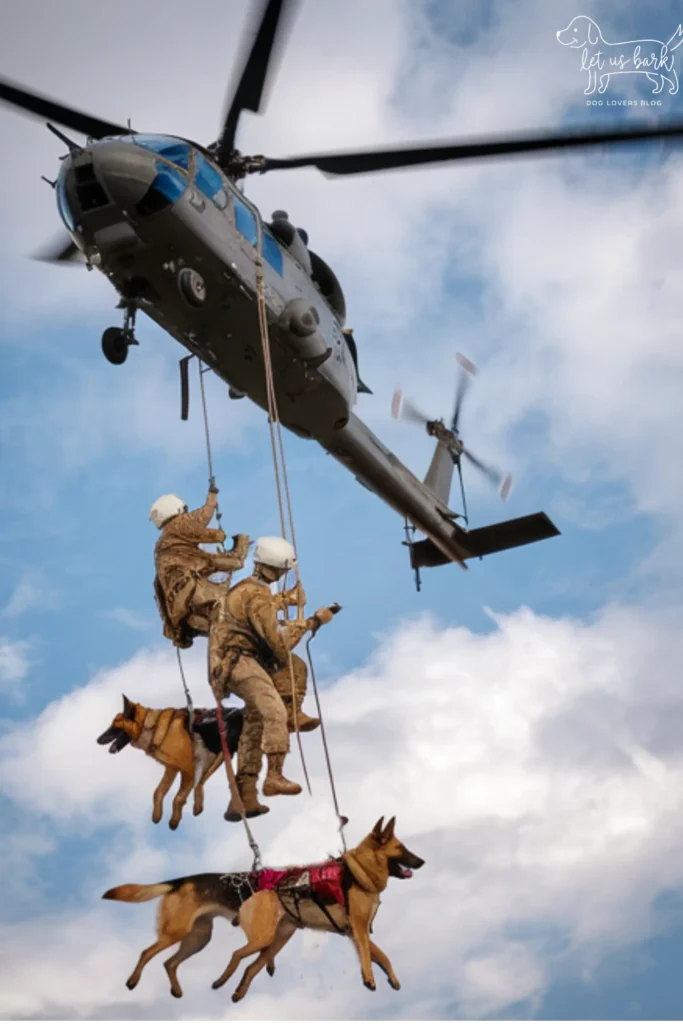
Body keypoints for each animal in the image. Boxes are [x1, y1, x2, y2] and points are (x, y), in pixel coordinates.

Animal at [97, 692, 242, 827]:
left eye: (114, 728)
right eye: (111, 726)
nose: (97, 740)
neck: (152, 727)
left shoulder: (188, 771)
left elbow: (178, 798)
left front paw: (174, 822)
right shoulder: (172, 768)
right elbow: (158, 792)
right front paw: (157, 816)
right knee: (206, 783)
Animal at [102, 815, 421, 999]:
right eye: (402, 849)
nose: (422, 861)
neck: (357, 870)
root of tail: (180, 880)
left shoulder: (357, 932)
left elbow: (384, 957)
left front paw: (392, 979)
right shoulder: (359, 931)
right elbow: (369, 956)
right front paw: (369, 979)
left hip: (204, 939)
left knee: (174, 963)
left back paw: (198, 989)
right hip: (194, 934)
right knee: (152, 953)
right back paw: (137, 981)